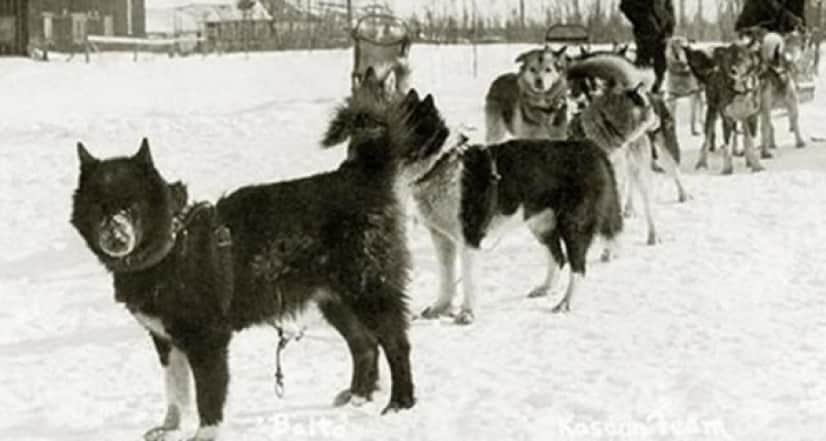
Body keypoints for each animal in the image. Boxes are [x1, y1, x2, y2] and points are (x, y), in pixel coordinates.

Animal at [67, 93, 428, 436]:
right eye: (99, 207)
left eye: (133, 206)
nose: (116, 238)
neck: (173, 245)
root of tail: (362, 176)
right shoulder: (166, 340)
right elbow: (176, 391)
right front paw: (169, 428)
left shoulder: (207, 340)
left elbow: (207, 396)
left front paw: (205, 434)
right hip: (334, 299)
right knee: (364, 345)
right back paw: (358, 396)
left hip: (368, 290)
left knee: (396, 344)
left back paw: (401, 402)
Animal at [684, 42, 768, 174]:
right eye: (728, 58)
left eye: (740, 57)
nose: (732, 71)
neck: (740, 91)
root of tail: (712, 73)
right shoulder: (727, 119)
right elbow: (726, 147)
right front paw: (727, 169)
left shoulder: (751, 117)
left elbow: (750, 143)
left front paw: (756, 166)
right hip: (712, 113)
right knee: (706, 140)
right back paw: (701, 163)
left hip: (742, 119)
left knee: (745, 138)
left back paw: (749, 161)